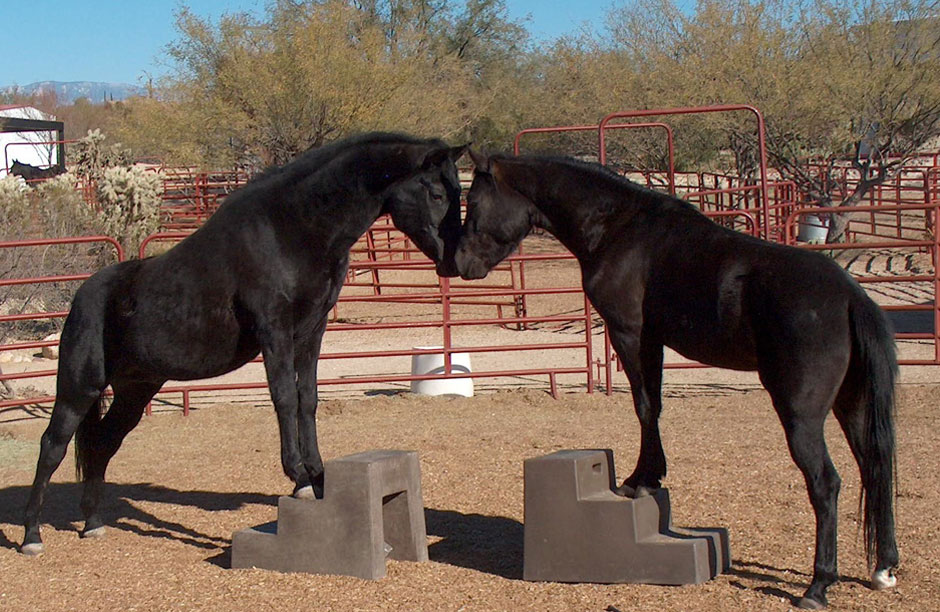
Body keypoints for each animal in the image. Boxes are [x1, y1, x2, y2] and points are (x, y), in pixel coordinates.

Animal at [25, 131, 470, 556]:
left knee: (102, 445)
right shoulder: (274, 329)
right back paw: (32, 536)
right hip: (79, 388)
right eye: (436, 193)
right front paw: (299, 477)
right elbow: (284, 398)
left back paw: (93, 523)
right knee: (53, 445)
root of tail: (83, 296)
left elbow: (308, 399)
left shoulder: (312, 331)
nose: (456, 260)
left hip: (135, 391)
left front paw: (319, 475)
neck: (292, 230)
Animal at [458, 151, 900, 608]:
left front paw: (640, 480)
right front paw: (649, 477)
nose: (460, 264)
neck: (619, 227)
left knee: (826, 483)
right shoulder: (651, 340)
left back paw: (817, 585)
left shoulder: (631, 334)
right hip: (852, 404)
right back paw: (883, 568)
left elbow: (645, 406)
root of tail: (849, 295)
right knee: (876, 465)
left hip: (801, 414)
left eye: (471, 201)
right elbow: (652, 405)